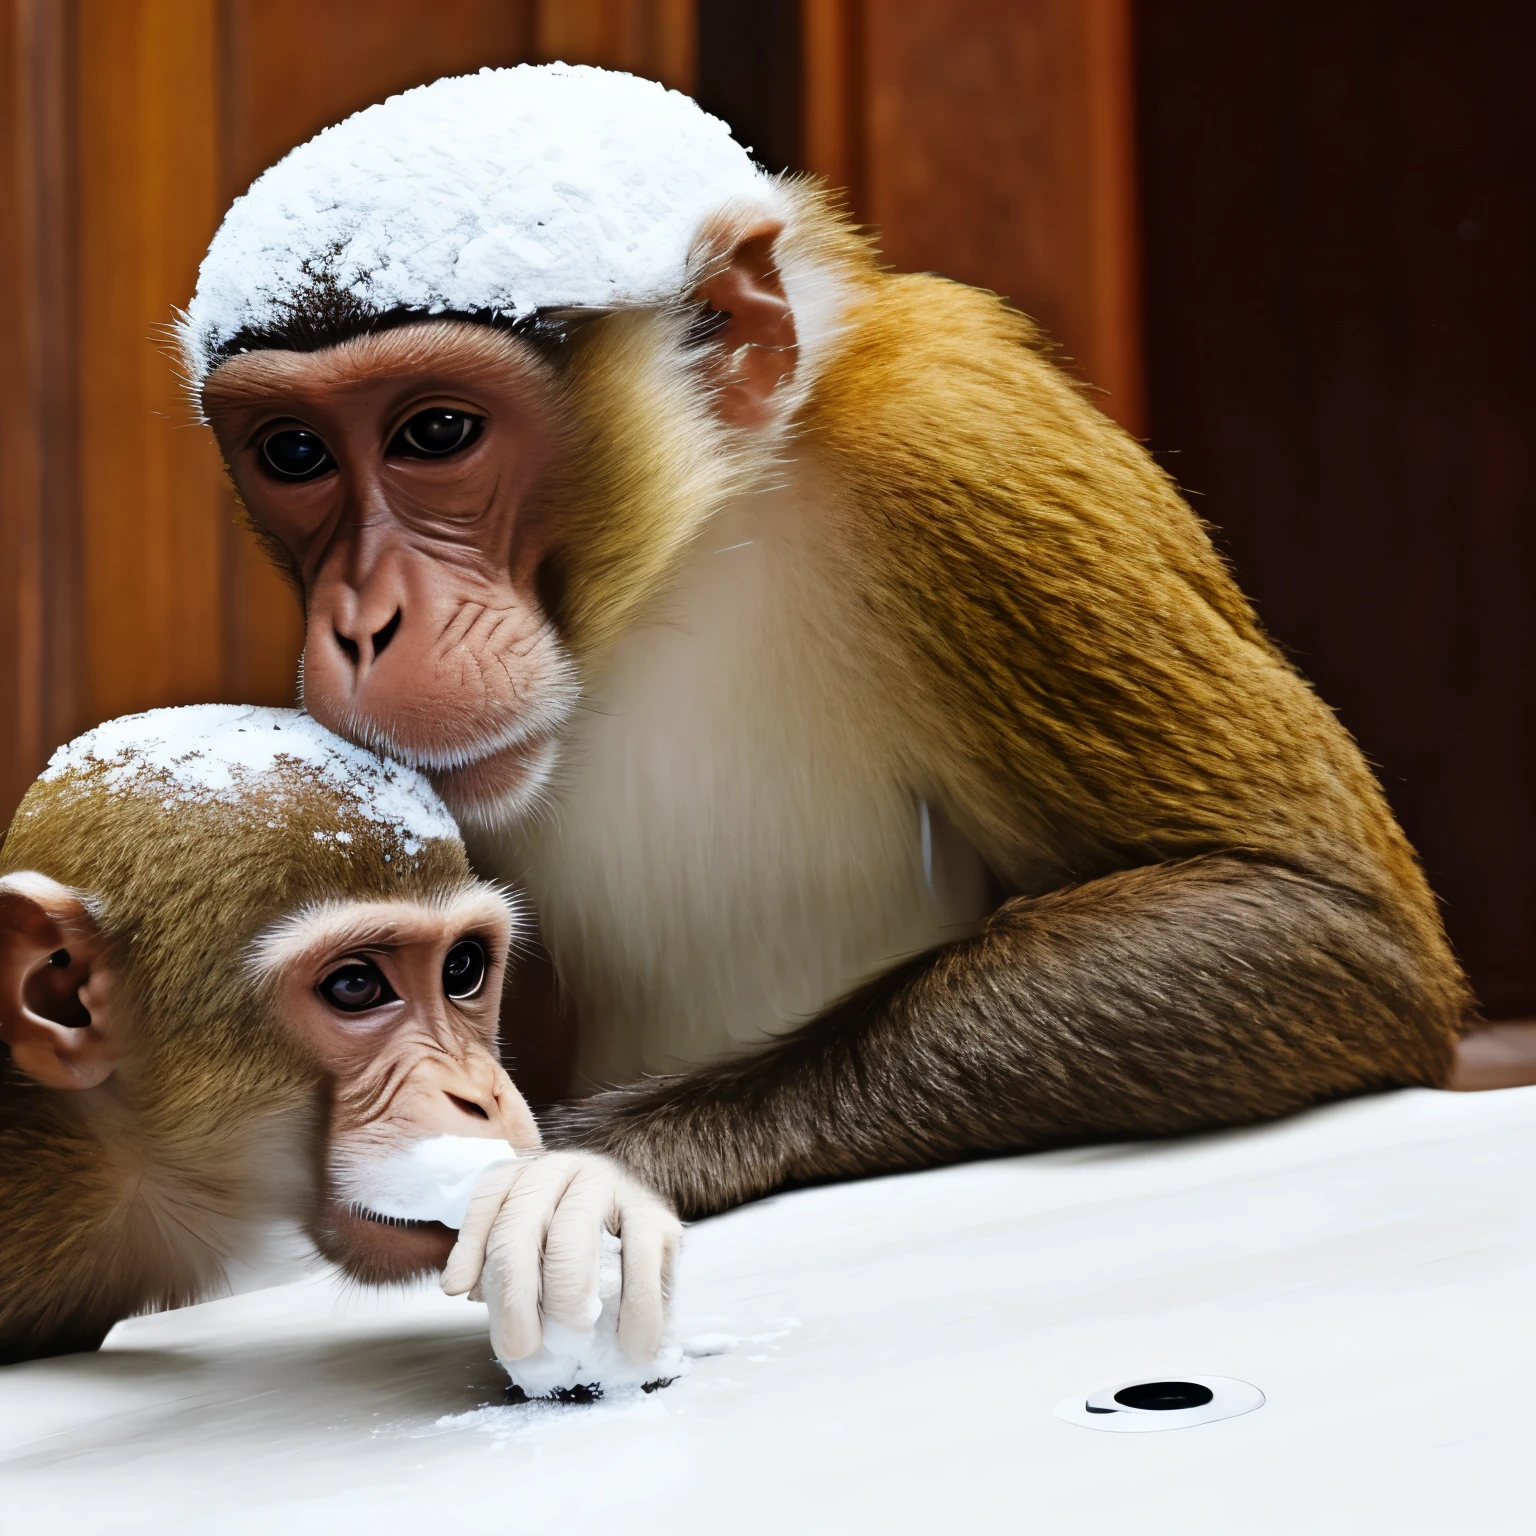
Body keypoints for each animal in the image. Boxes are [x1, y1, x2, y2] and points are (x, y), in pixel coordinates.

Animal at [182, 62, 1474, 1222]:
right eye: (295, 452)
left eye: (436, 433)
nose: (363, 621)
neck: (687, 560)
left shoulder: (962, 452)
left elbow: (1313, 914)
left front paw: (608, 1160)